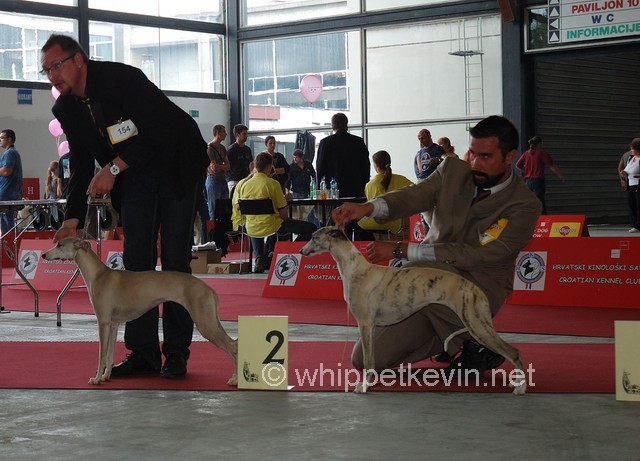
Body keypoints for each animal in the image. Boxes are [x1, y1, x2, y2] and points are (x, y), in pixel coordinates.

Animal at [42, 237, 238, 384]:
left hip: (205, 323)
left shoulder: (102, 322)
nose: (43, 254)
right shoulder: (113, 324)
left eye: (60, 244)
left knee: (233, 347)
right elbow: (110, 354)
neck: (99, 275)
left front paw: (96, 378)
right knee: (234, 344)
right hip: (210, 321)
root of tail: (208, 288)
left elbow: (101, 354)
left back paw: (235, 380)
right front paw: (106, 376)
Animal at [300, 228, 524, 394]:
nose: (301, 251)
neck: (356, 270)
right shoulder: (371, 326)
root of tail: (477, 290)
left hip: (476, 324)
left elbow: (367, 360)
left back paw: (520, 388)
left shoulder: (365, 323)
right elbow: (372, 359)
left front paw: (363, 386)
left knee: (513, 352)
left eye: (313, 237)